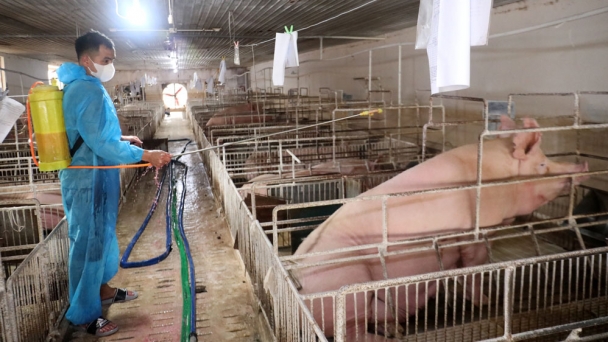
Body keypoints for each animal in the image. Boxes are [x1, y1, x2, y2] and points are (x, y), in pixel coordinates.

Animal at [294, 116, 588, 340]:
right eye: (542, 164)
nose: (583, 166)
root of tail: (297, 282)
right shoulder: (474, 234)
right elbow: (473, 269)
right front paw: (486, 301)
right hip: (349, 287)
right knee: (350, 334)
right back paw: (393, 335)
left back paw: (395, 328)